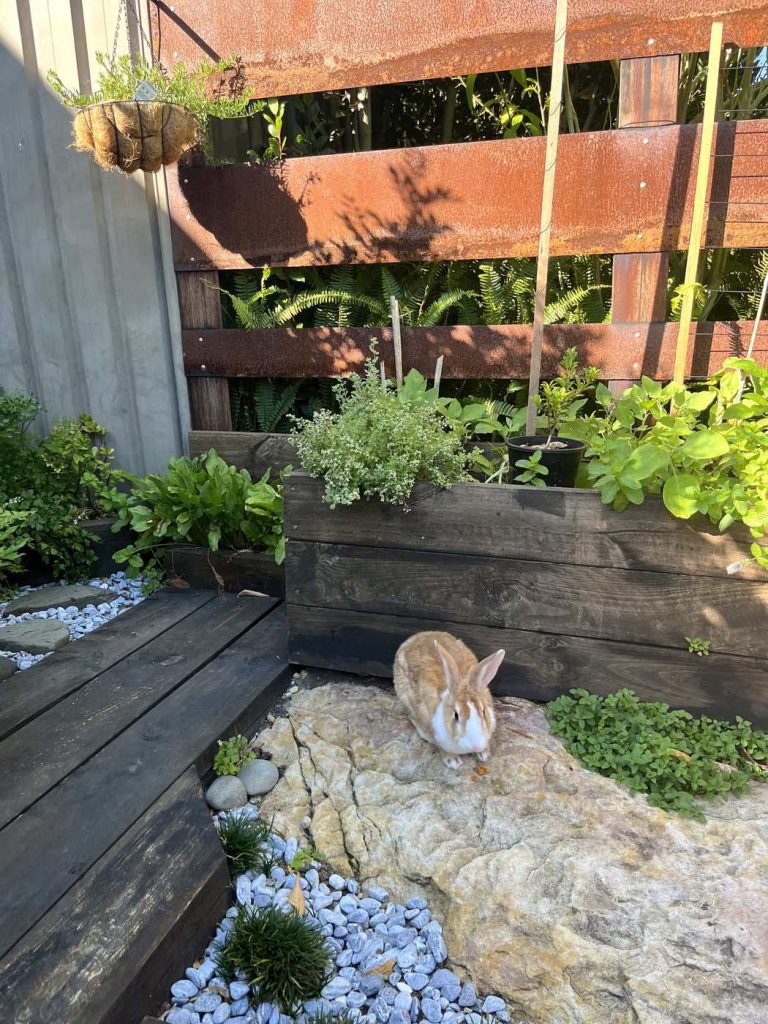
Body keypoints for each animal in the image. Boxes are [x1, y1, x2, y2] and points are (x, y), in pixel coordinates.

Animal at [393, 631, 505, 768]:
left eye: (483, 712)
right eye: (456, 715)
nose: (475, 745)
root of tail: (415, 637)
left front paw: (484, 754)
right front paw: (453, 762)